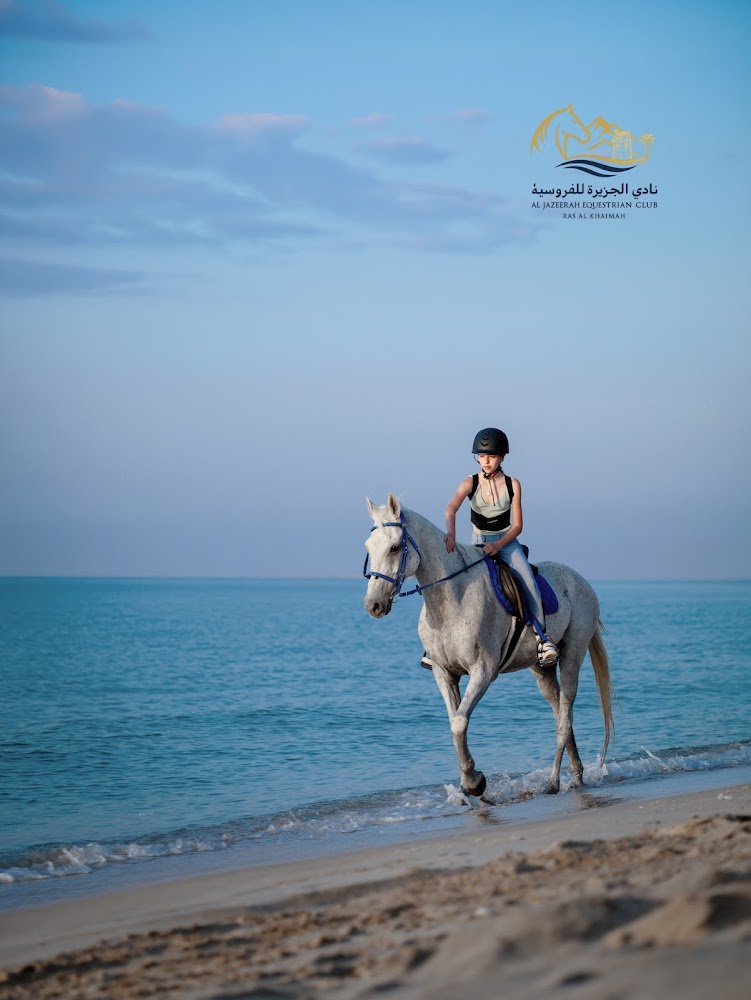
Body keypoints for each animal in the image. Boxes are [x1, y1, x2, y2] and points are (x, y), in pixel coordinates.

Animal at [363, 495, 614, 801]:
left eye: (395, 547)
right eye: (369, 547)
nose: (373, 605)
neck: (451, 599)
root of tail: (580, 581)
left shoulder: (482, 672)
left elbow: (459, 722)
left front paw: (474, 782)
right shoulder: (444, 674)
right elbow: (455, 723)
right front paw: (470, 784)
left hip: (572, 656)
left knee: (564, 718)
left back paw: (554, 782)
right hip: (541, 669)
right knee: (560, 714)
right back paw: (576, 774)